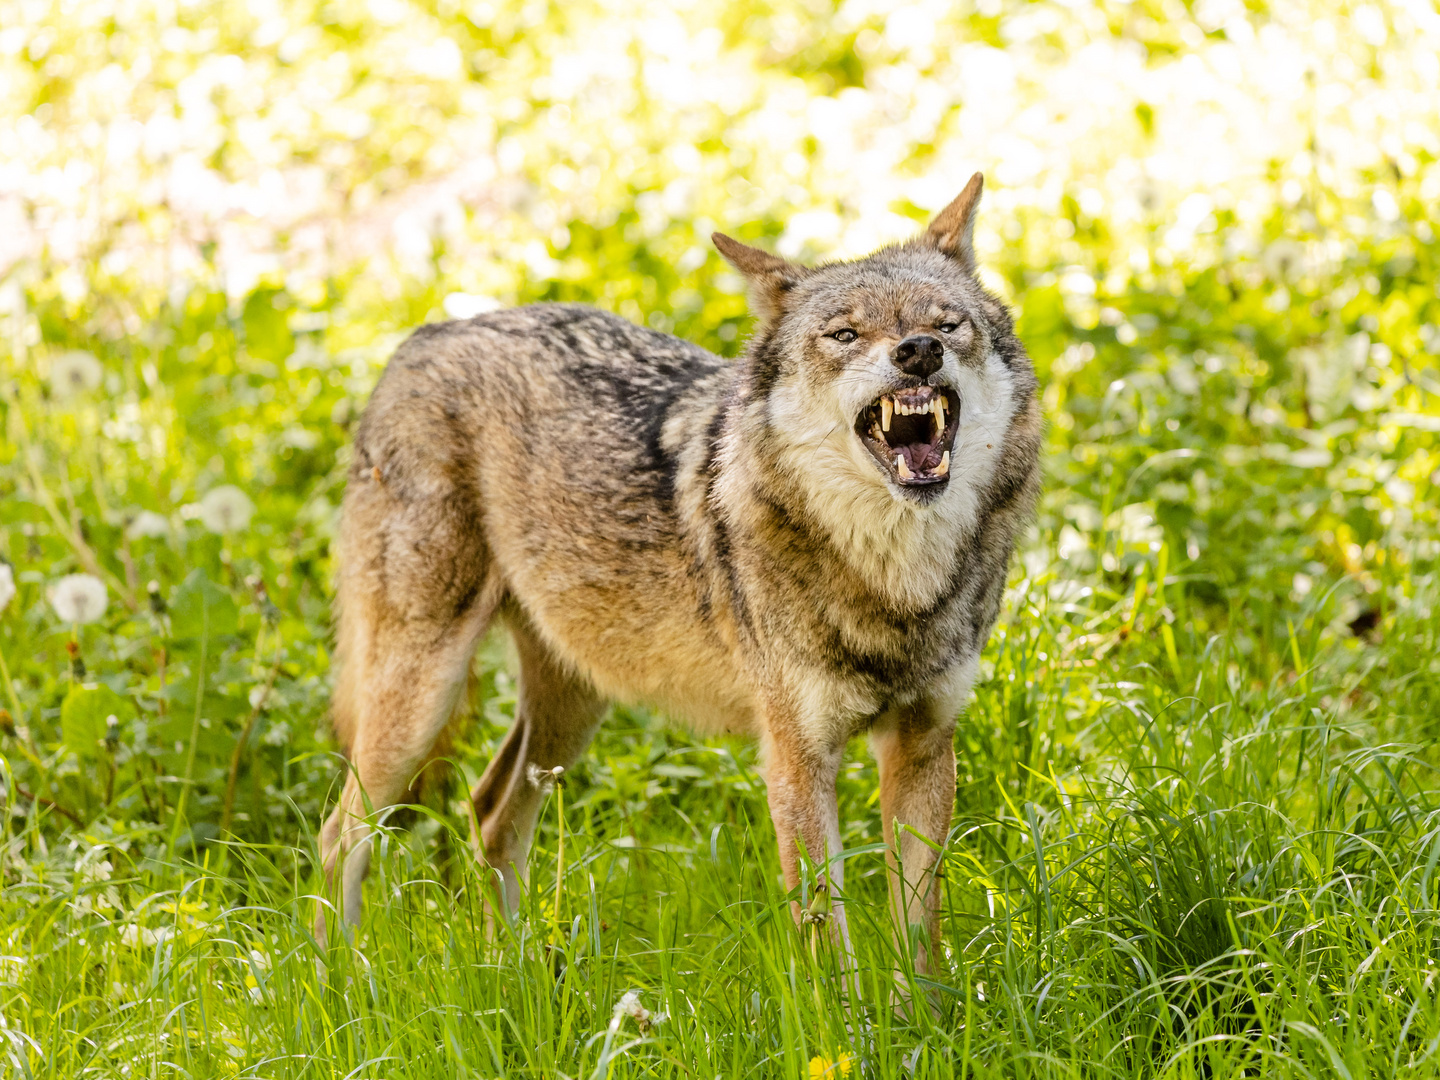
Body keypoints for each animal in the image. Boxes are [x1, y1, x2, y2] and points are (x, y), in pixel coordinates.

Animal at [318, 173, 1036, 979]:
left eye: (948, 324)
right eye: (845, 335)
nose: (917, 352)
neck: (894, 581)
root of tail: (423, 335)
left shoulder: (923, 747)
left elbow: (922, 945)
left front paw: (927, 1015)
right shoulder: (795, 761)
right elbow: (832, 947)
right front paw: (852, 1017)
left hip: (571, 709)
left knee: (487, 809)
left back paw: (520, 977)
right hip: (420, 701)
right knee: (339, 834)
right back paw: (340, 985)